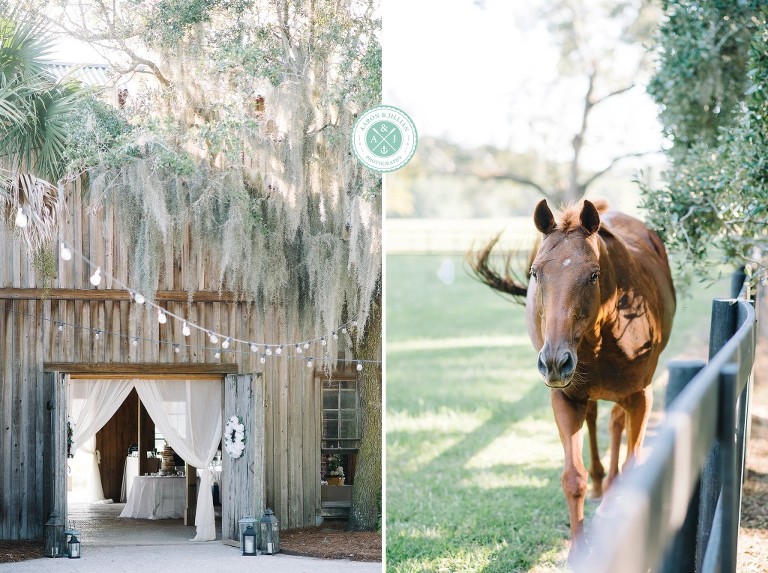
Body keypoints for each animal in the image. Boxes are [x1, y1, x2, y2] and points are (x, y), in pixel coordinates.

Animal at [472, 200, 676, 556]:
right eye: (535, 273)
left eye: (593, 274)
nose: (555, 362)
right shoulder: (565, 398)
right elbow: (572, 478)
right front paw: (578, 551)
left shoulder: (641, 396)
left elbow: (633, 462)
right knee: (595, 418)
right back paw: (599, 484)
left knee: (615, 423)